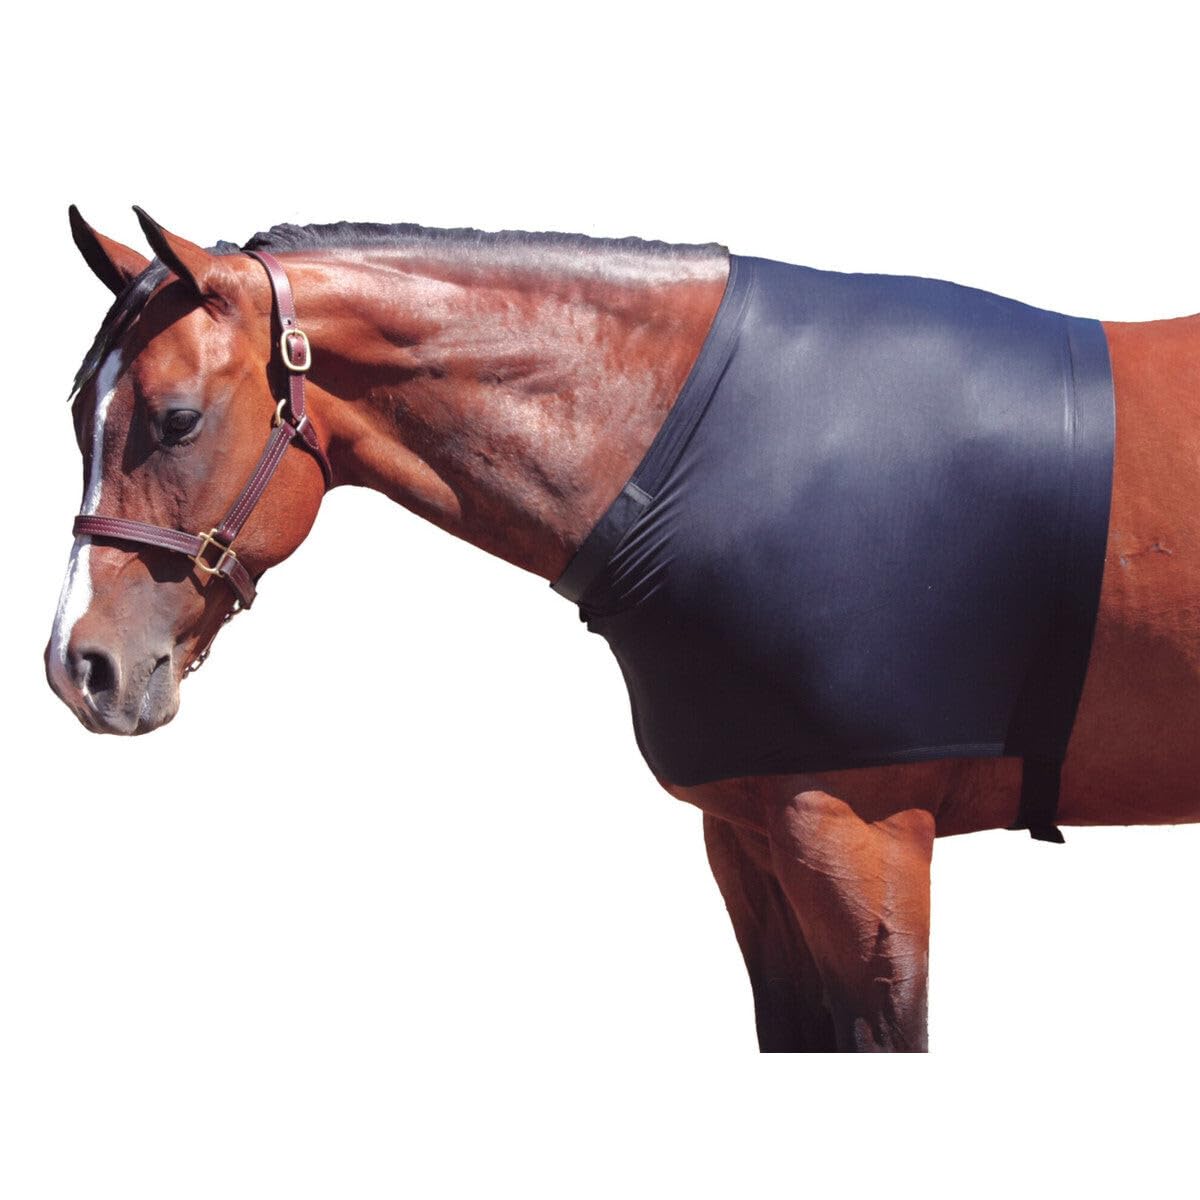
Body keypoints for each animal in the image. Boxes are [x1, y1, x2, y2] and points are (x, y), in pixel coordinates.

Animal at [46, 207, 1200, 1052]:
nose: (79, 665)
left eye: (177, 420)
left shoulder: (865, 837)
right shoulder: (749, 833)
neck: (701, 455)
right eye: (75, 413)